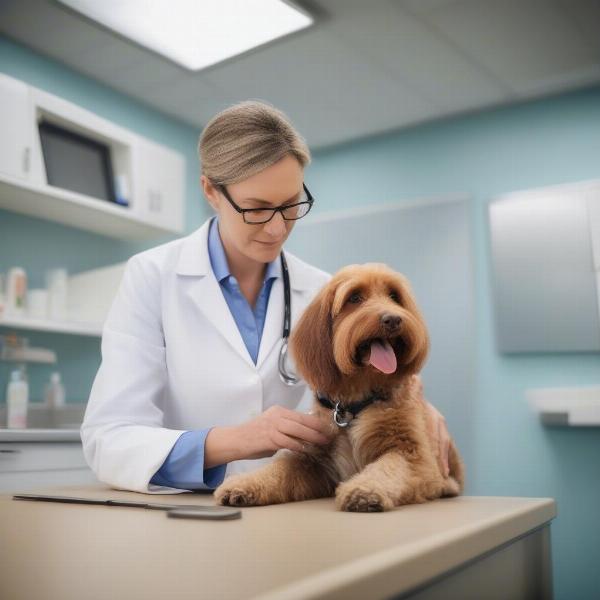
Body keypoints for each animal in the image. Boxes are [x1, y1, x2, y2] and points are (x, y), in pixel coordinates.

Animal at [213, 262, 466, 510]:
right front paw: (244, 483)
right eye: (354, 297)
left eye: (395, 296)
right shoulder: (314, 460)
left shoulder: (412, 454)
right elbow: (278, 470)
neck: (356, 402)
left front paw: (365, 489)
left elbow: (389, 467)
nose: (393, 319)